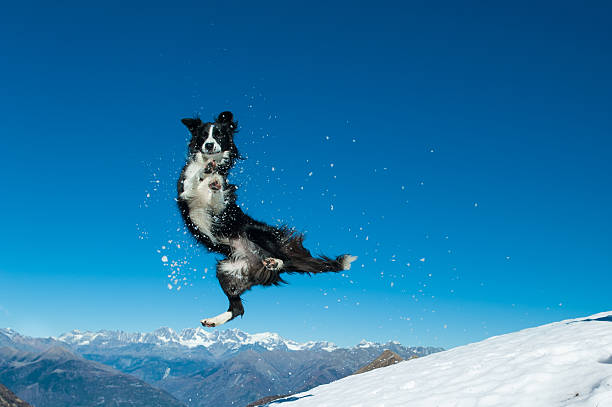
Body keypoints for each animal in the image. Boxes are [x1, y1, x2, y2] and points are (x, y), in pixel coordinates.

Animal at [177, 111, 356, 328]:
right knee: (238, 308)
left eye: (219, 134)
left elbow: (218, 193)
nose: (209, 145)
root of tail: (256, 259)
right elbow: (192, 180)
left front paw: (214, 180)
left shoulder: (222, 209)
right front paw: (205, 172)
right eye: (203, 135)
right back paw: (213, 320)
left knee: (285, 260)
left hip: (255, 233)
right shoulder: (184, 192)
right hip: (227, 270)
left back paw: (275, 262)